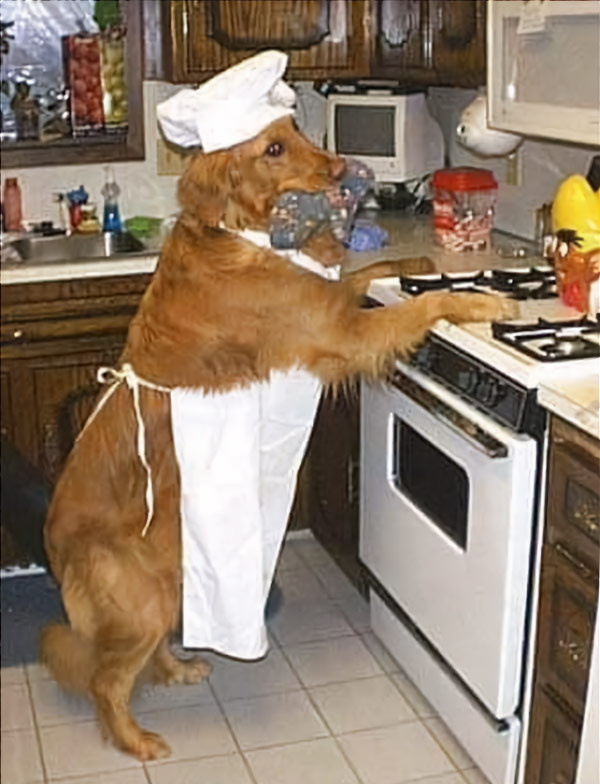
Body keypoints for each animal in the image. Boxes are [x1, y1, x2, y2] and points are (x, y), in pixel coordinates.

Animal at [38, 50, 516, 760]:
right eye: (271, 148)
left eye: (296, 129)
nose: (342, 170)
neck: (244, 231)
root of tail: (53, 544)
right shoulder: (342, 333)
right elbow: (423, 307)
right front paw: (481, 301)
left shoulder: (331, 304)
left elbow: (365, 274)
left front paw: (419, 260)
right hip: (142, 599)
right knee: (105, 678)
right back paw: (137, 740)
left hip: (174, 574)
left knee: (145, 654)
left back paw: (179, 668)